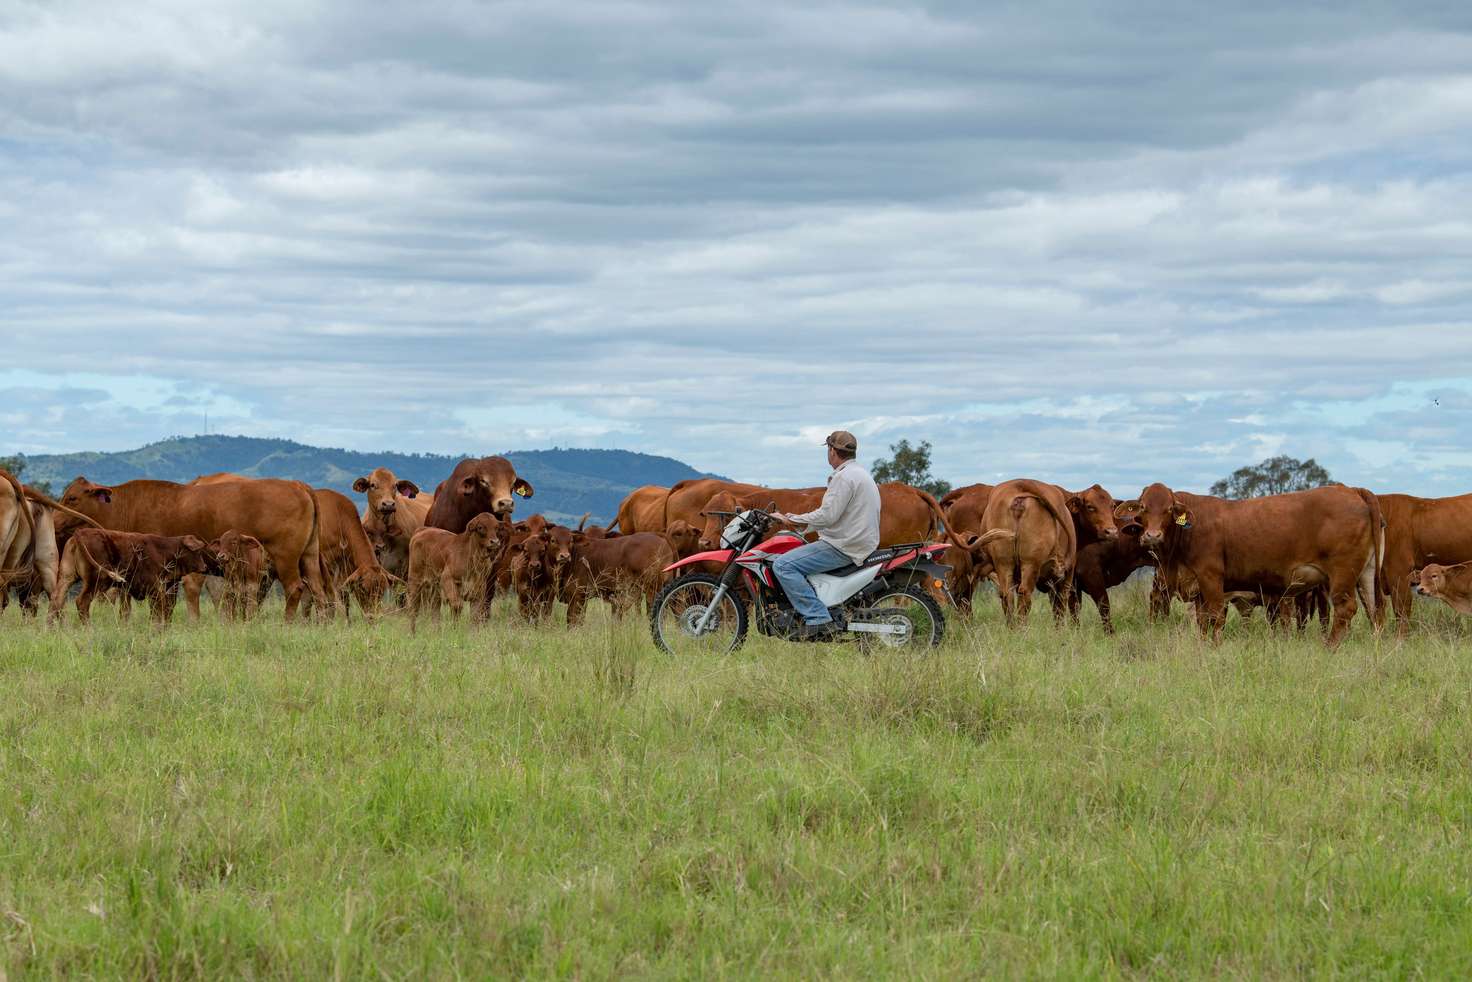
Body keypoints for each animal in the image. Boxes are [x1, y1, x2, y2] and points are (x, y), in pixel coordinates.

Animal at [49, 530, 219, 621]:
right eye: (198, 551)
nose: (205, 567)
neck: (164, 551)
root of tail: (81, 532)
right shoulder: (156, 589)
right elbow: (159, 613)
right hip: (96, 580)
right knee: (82, 602)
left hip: (66, 577)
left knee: (56, 600)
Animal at [1112, 482, 1377, 644]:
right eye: (1143, 507)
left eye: (1168, 509)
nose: (1152, 535)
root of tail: (1352, 490)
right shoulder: (1198, 589)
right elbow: (1202, 622)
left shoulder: (1211, 579)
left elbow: (1215, 618)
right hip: (1365, 576)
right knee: (1372, 609)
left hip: (1342, 576)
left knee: (1345, 609)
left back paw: (1329, 648)